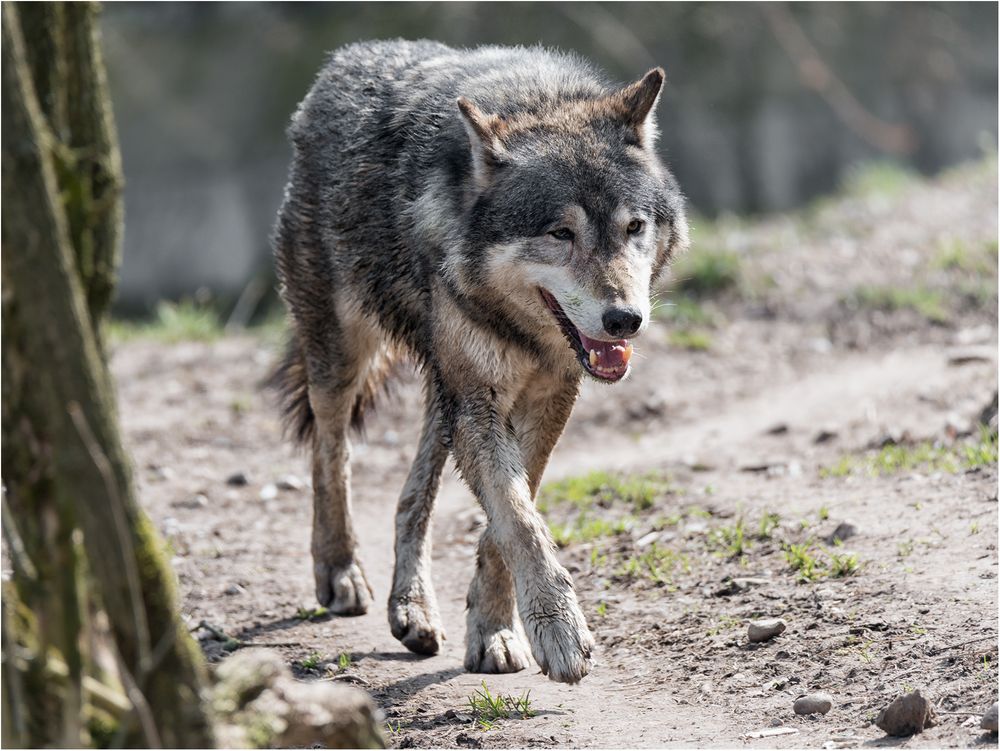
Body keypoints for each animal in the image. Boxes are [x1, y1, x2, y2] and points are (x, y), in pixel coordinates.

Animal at [270, 41, 692, 688]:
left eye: (634, 227)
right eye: (560, 233)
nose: (625, 320)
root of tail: (343, 60)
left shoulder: (546, 394)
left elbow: (510, 515)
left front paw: (494, 630)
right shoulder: (478, 401)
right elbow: (517, 518)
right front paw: (559, 631)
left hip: (442, 389)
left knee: (410, 494)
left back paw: (412, 607)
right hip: (345, 358)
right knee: (329, 452)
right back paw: (341, 573)